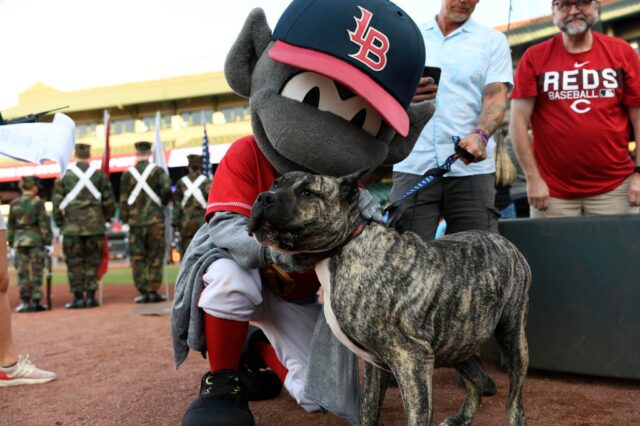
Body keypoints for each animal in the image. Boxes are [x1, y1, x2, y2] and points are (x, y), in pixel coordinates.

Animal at [249, 171, 528, 426]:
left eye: (307, 193)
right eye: (275, 183)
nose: (263, 197)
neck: (346, 244)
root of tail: (504, 242)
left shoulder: (411, 357)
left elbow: (417, 416)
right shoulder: (376, 362)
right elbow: (369, 409)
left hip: (512, 337)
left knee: (514, 401)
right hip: (457, 341)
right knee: (477, 379)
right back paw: (461, 418)